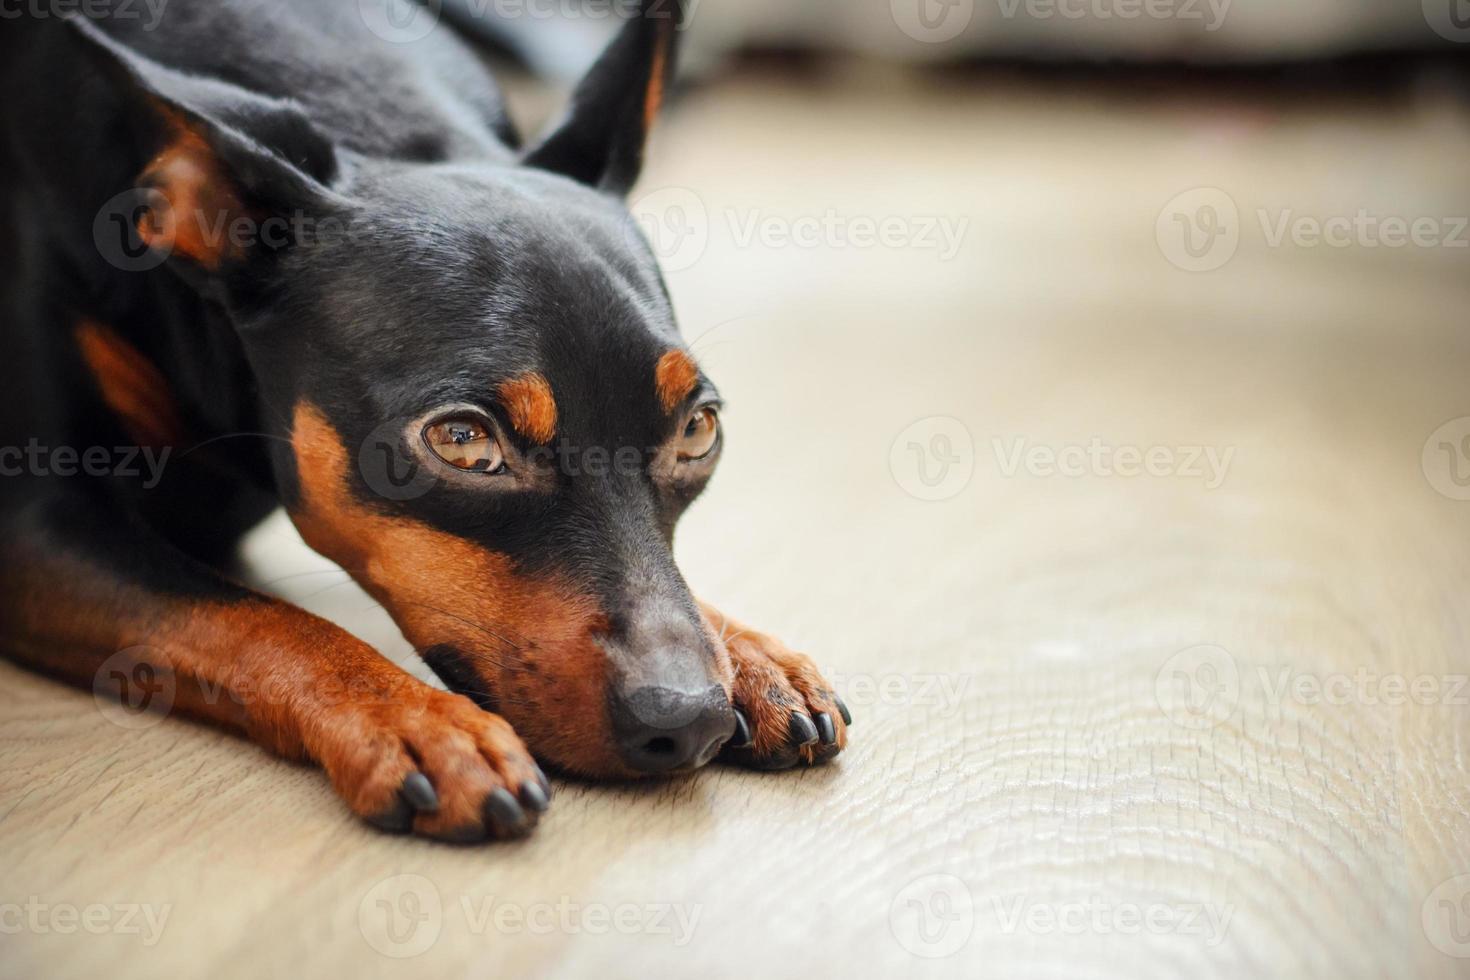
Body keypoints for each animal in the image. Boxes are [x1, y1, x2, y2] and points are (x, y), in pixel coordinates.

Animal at [0, 0, 852, 846]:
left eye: (698, 431)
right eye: (463, 441)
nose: (690, 720)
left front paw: (753, 656)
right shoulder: (34, 525)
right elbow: (247, 613)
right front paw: (418, 722)